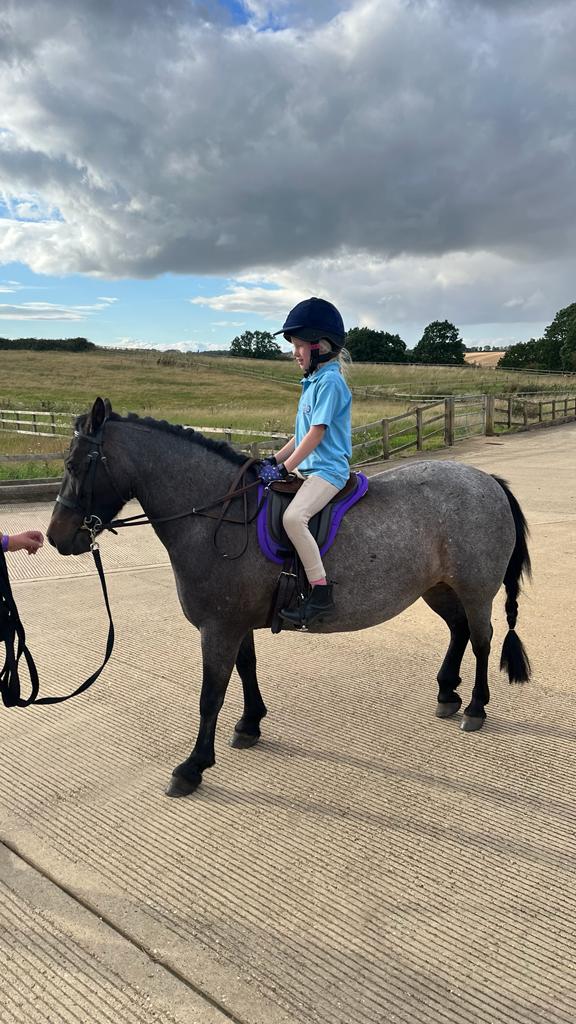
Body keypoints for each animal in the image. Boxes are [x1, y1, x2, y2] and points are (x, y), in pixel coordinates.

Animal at [48, 399, 528, 798]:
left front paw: (192, 768)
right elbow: (246, 669)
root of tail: (488, 482)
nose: (56, 537)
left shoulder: (217, 629)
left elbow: (211, 695)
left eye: (74, 463)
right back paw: (447, 693)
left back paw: (475, 707)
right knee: (459, 630)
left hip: (475, 589)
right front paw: (249, 725)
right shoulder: (235, 624)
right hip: (438, 588)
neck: (219, 514)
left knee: (481, 639)